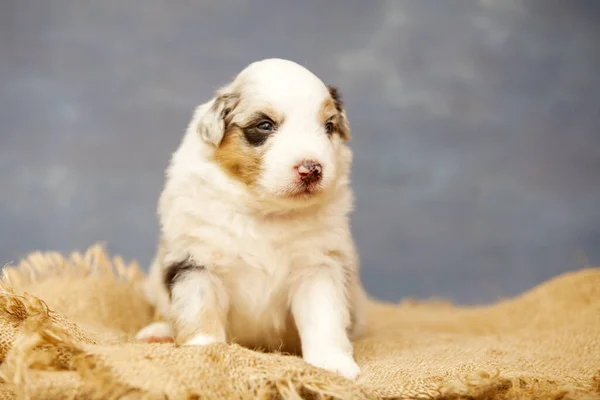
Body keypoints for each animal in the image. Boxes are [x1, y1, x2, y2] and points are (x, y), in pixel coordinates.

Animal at [137, 57, 368, 380]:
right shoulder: (196, 260)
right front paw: (204, 350)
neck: (265, 212)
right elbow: (198, 307)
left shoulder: (319, 265)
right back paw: (157, 333)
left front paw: (333, 364)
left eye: (329, 126)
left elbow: (324, 316)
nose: (311, 169)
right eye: (265, 125)